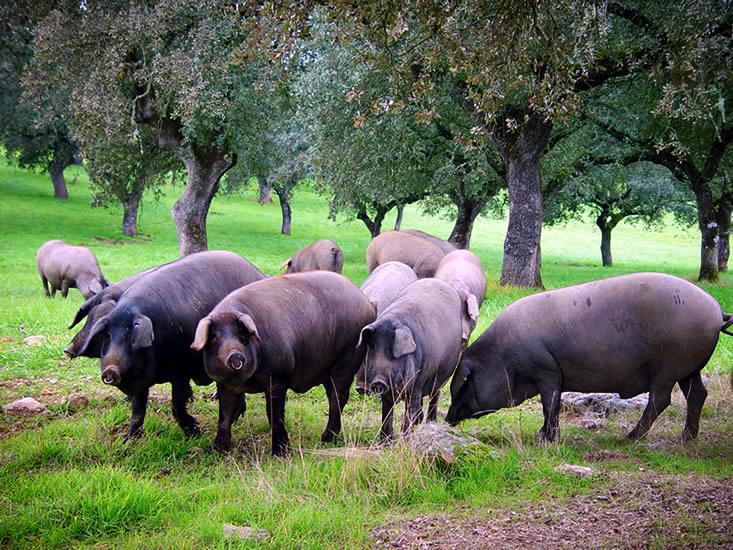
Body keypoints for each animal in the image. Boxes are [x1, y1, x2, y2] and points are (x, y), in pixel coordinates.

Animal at [71, 252, 264, 442]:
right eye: (108, 336)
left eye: (129, 336)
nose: (110, 370)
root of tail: (258, 272)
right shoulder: (142, 379)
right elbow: (137, 411)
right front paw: (127, 441)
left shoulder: (182, 371)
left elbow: (176, 405)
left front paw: (195, 432)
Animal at [190, 272, 372, 458]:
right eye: (215, 336)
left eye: (241, 334)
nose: (235, 355)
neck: (243, 383)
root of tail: (367, 302)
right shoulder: (224, 385)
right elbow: (224, 415)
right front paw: (215, 450)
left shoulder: (278, 378)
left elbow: (274, 414)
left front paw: (280, 453)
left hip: (347, 360)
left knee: (338, 398)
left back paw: (325, 440)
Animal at [356, 278, 464, 442]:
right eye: (371, 347)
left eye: (392, 351)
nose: (377, 381)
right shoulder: (388, 394)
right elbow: (386, 413)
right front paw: (385, 442)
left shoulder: (417, 383)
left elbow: (409, 412)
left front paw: (405, 440)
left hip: (440, 376)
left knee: (434, 397)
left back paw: (430, 423)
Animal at [444, 274, 728, 444]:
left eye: (464, 383)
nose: (447, 419)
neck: (503, 357)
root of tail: (716, 310)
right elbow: (553, 405)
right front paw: (543, 436)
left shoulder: (545, 369)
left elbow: (550, 403)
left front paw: (545, 439)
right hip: (688, 368)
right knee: (697, 394)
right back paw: (686, 438)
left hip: (667, 367)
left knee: (661, 400)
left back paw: (629, 438)